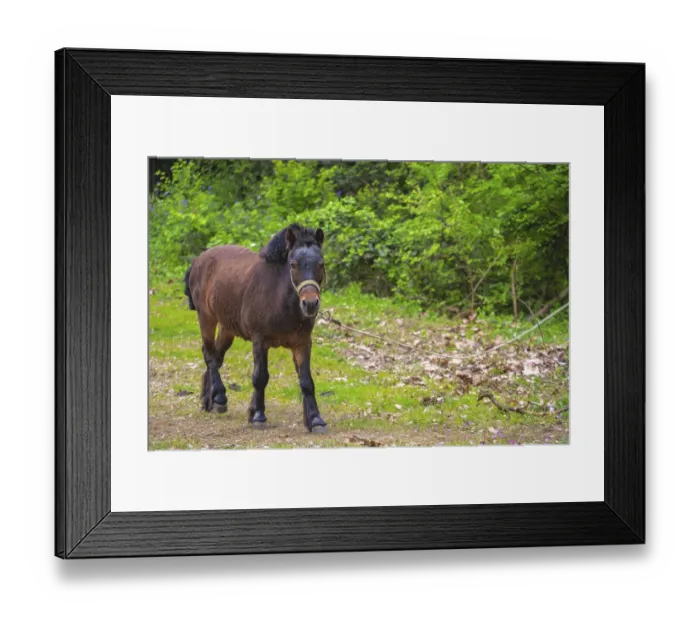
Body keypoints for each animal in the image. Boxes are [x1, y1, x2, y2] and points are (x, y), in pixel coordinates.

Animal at [184, 224, 328, 433]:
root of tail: (199, 260)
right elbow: (260, 377)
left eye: (321, 264)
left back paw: (207, 399)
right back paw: (219, 398)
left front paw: (315, 419)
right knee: (210, 355)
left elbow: (306, 381)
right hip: (206, 318)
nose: (310, 304)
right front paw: (258, 415)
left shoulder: (302, 344)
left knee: (216, 356)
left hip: (227, 328)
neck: (279, 297)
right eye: (293, 264)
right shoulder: (260, 341)